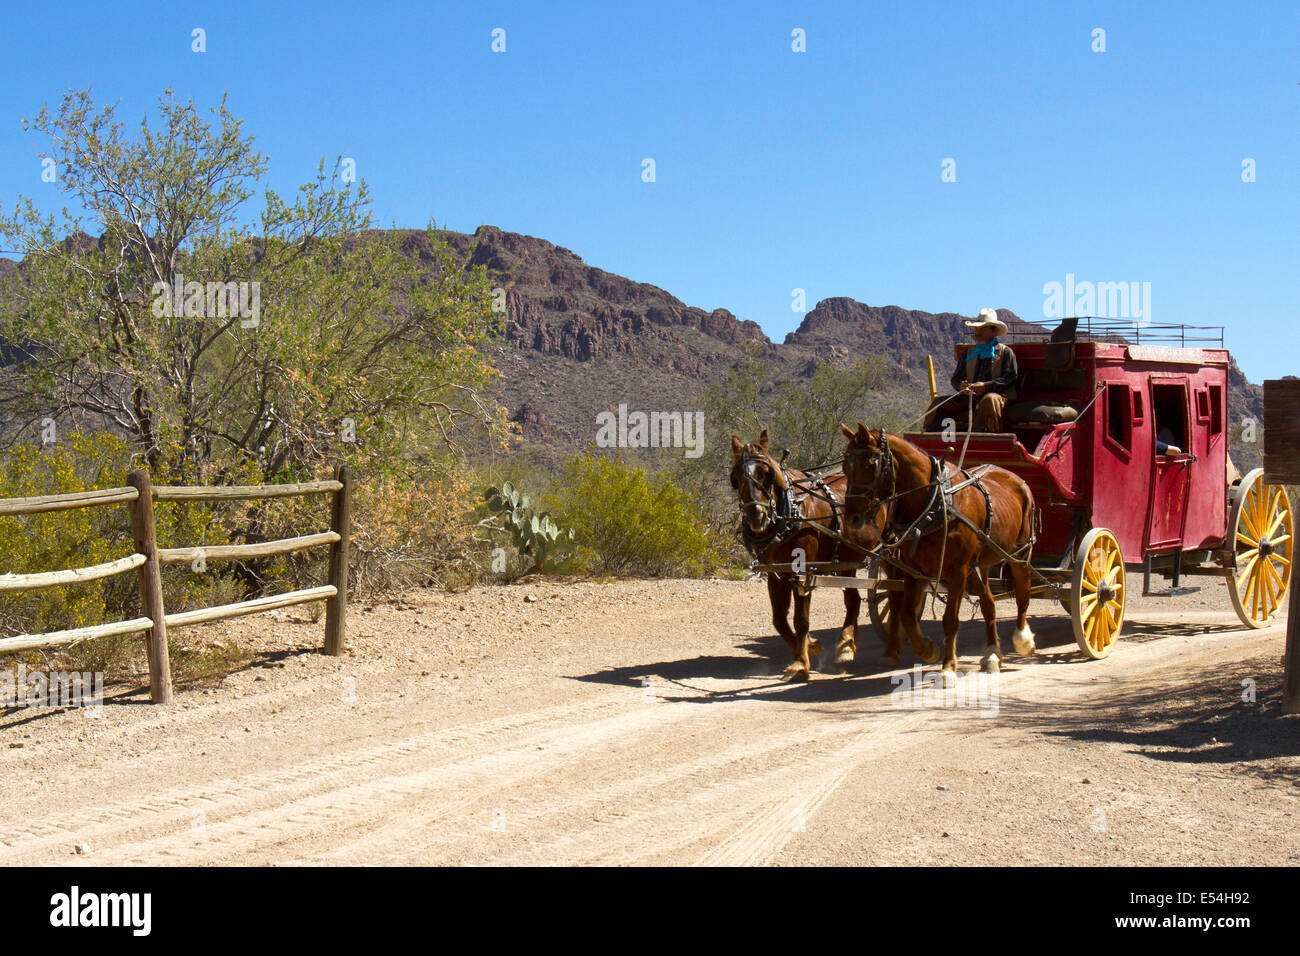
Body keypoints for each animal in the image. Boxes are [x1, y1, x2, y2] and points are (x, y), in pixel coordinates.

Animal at [733, 429, 863, 686]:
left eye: (766, 474)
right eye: (738, 477)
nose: (756, 516)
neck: (790, 512)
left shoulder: (804, 574)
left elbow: (800, 620)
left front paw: (801, 664)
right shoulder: (777, 574)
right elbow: (779, 620)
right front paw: (809, 647)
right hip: (848, 562)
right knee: (853, 599)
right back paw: (846, 645)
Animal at [842, 421, 1034, 676]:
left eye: (870, 462)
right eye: (845, 465)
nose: (851, 518)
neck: (934, 503)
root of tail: (1015, 478)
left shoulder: (958, 571)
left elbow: (950, 619)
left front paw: (948, 668)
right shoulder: (914, 569)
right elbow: (906, 614)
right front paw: (927, 649)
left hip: (1019, 555)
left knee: (1023, 594)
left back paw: (1023, 640)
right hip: (980, 566)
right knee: (989, 604)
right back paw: (992, 654)